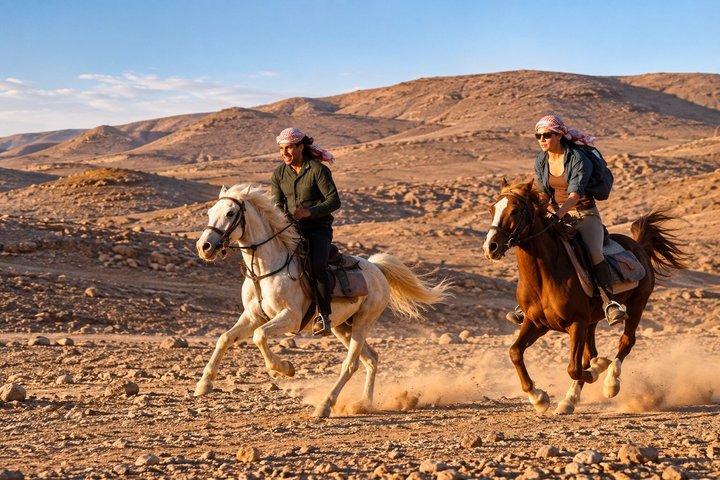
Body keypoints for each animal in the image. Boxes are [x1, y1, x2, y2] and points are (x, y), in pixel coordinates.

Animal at [193, 184, 450, 418]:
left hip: (363, 322)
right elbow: (224, 338)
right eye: (210, 212)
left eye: (230, 213)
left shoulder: (290, 317)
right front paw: (204, 384)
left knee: (351, 364)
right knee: (371, 359)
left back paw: (325, 405)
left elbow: (259, 336)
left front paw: (285, 369)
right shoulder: (253, 316)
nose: (204, 247)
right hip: (341, 327)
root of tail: (376, 268)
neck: (266, 270)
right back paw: (363, 404)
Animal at [483, 179, 687, 414]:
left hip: (637, 304)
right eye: (492, 210)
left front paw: (598, 371)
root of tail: (639, 246)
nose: (490, 247)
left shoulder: (576, 323)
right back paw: (571, 398)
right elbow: (515, 352)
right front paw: (538, 398)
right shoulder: (536, 323)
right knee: (590, 353)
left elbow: (574, 368)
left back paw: (610, 383)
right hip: (592, 321)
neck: (546, 275)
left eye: (515, 210)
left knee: (625, 342)